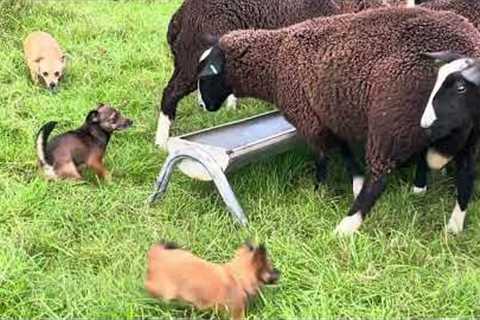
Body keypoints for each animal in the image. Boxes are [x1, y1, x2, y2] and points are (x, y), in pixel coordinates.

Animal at [144, 241, 280, 318]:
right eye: (271, 269)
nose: (279, 272)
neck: (237, 277)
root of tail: (155, 255)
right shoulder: (236, 312)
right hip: (165, 293)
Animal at [195, 6, 480, 235]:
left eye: (207, 74)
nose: (202, 106)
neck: (274, 63)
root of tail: (467, 44)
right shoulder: (329, 117)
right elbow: (344, 151)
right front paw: (354, 180)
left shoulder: (310, 120)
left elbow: (322, 157)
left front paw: (318, 191)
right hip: (461, 133)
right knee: (465, 174)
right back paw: (452, 223)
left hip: (391, 120)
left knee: (379, 178)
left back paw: (346, 227)